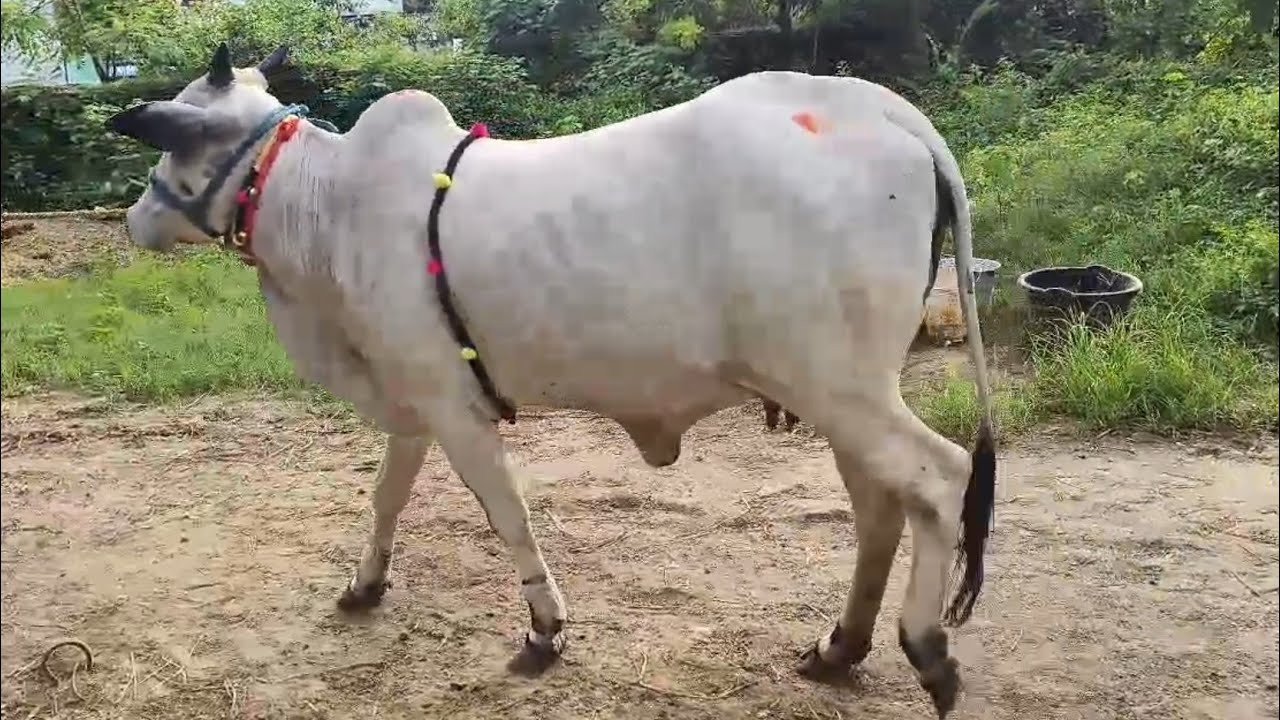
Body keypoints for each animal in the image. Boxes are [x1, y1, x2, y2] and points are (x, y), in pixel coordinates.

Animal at [106, 43, 997, 718]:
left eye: (175, 144)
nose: (133, 219)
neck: (324, 208)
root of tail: (880, 110)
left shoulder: (454, 407)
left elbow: (508, 515)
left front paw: (543, 629)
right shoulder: (413, 402)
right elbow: (387, 497)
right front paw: (365, 585)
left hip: (838, 386)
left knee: (940, 477)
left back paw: (926, 650)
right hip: (845, 391)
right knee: (880, 505)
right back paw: (839, 647)